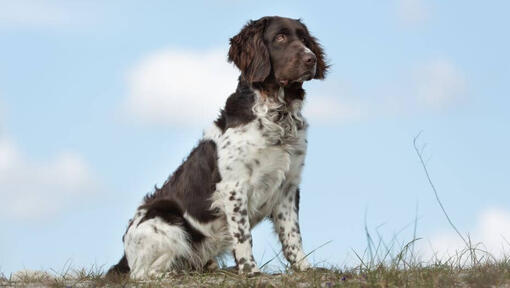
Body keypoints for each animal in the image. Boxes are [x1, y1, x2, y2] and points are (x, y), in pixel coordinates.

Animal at [106, 16, 328, 280]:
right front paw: (250, 270)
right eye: (280, 37)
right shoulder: (233, 187)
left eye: (304, 39)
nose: (311, 59)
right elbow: (243, 236)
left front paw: (305, 268)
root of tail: (125, 257)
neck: (276, 116)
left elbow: (292, 235)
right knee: (143, 273)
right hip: (166, 221)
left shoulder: (288, 186)